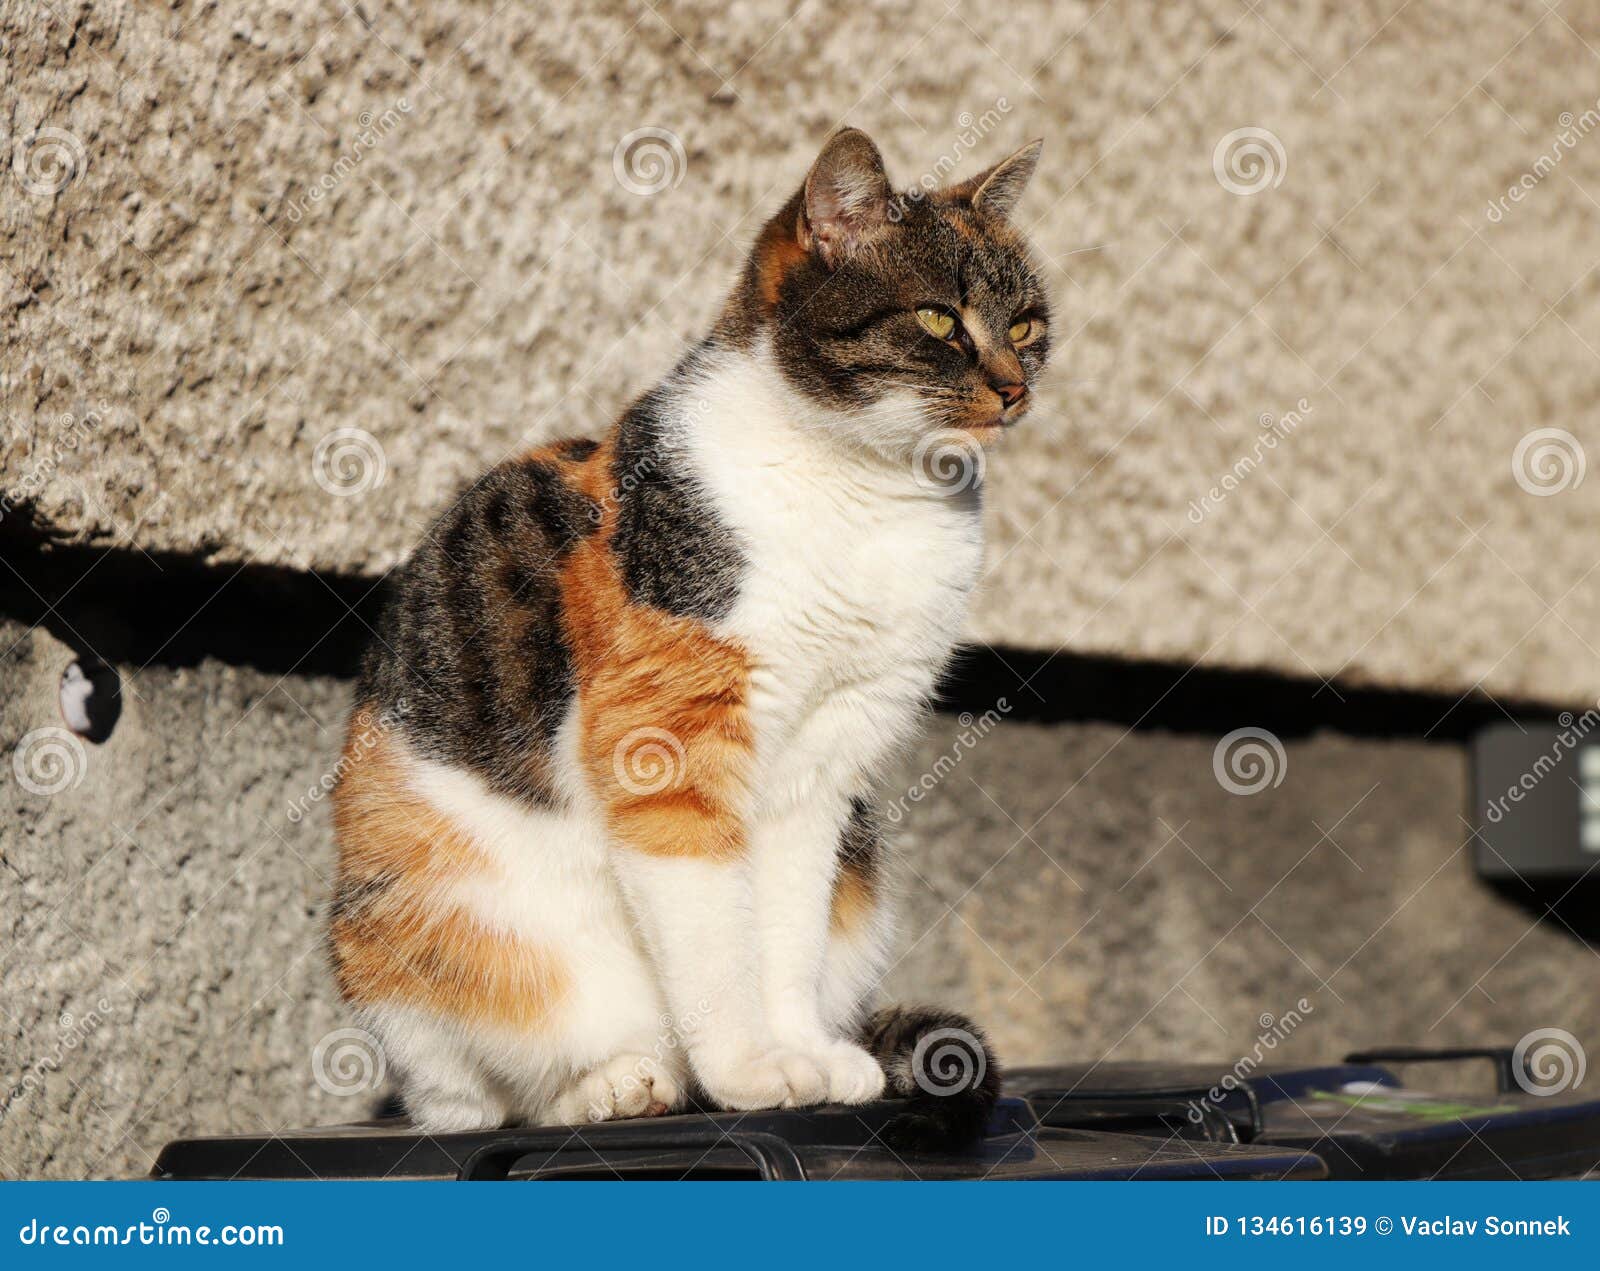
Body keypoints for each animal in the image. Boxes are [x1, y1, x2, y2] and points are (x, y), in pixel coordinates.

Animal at [328, 126, 1049, 1139]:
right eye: (941, 321)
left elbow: (783, 933)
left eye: (1024, 325)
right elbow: (712, 940)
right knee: (479, 1100)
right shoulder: (668, 742)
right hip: (409, 910)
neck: (870, 491)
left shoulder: (826, 763)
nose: (1015, 387)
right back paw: (618, 1083)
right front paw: (749, 1071)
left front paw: (804, 1054)